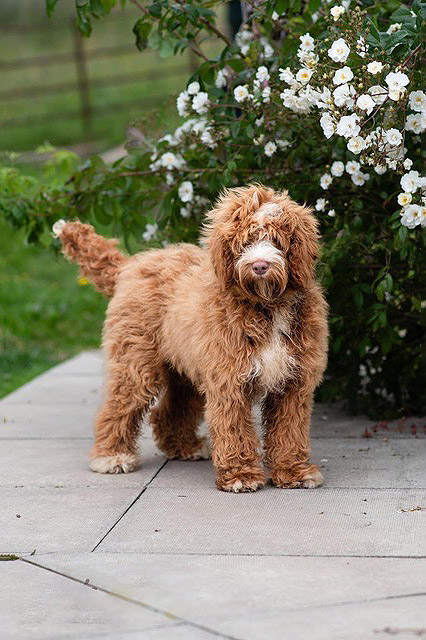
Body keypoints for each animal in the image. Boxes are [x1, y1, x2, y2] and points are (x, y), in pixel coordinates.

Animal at [55, 182, 328, 492]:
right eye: (244, 242)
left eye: (276, 240)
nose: (259, 266)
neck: (267, 305)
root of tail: (130, 265)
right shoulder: (229, 380)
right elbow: (234, 428)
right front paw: (241, 475)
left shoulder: (294, 383)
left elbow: (289, 430)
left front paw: (294, 471)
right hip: (136, 362)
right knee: (120, 405)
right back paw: (111, 455)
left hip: (184, 370)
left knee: (169, 412)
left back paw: (184, 447)